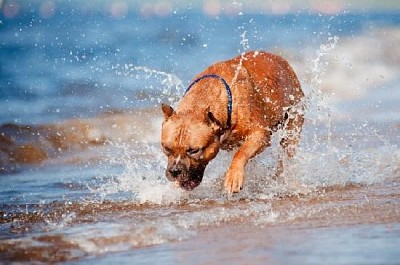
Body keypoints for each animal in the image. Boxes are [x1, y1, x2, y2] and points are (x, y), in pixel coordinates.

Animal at [159, 50, 304, 193]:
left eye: (194, 151)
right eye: (166, 148)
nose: (175, 171)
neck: (199, 103)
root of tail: (280, 60)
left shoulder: (259, 135)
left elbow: (241, 152)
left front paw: (233, 177)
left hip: (293, 121)